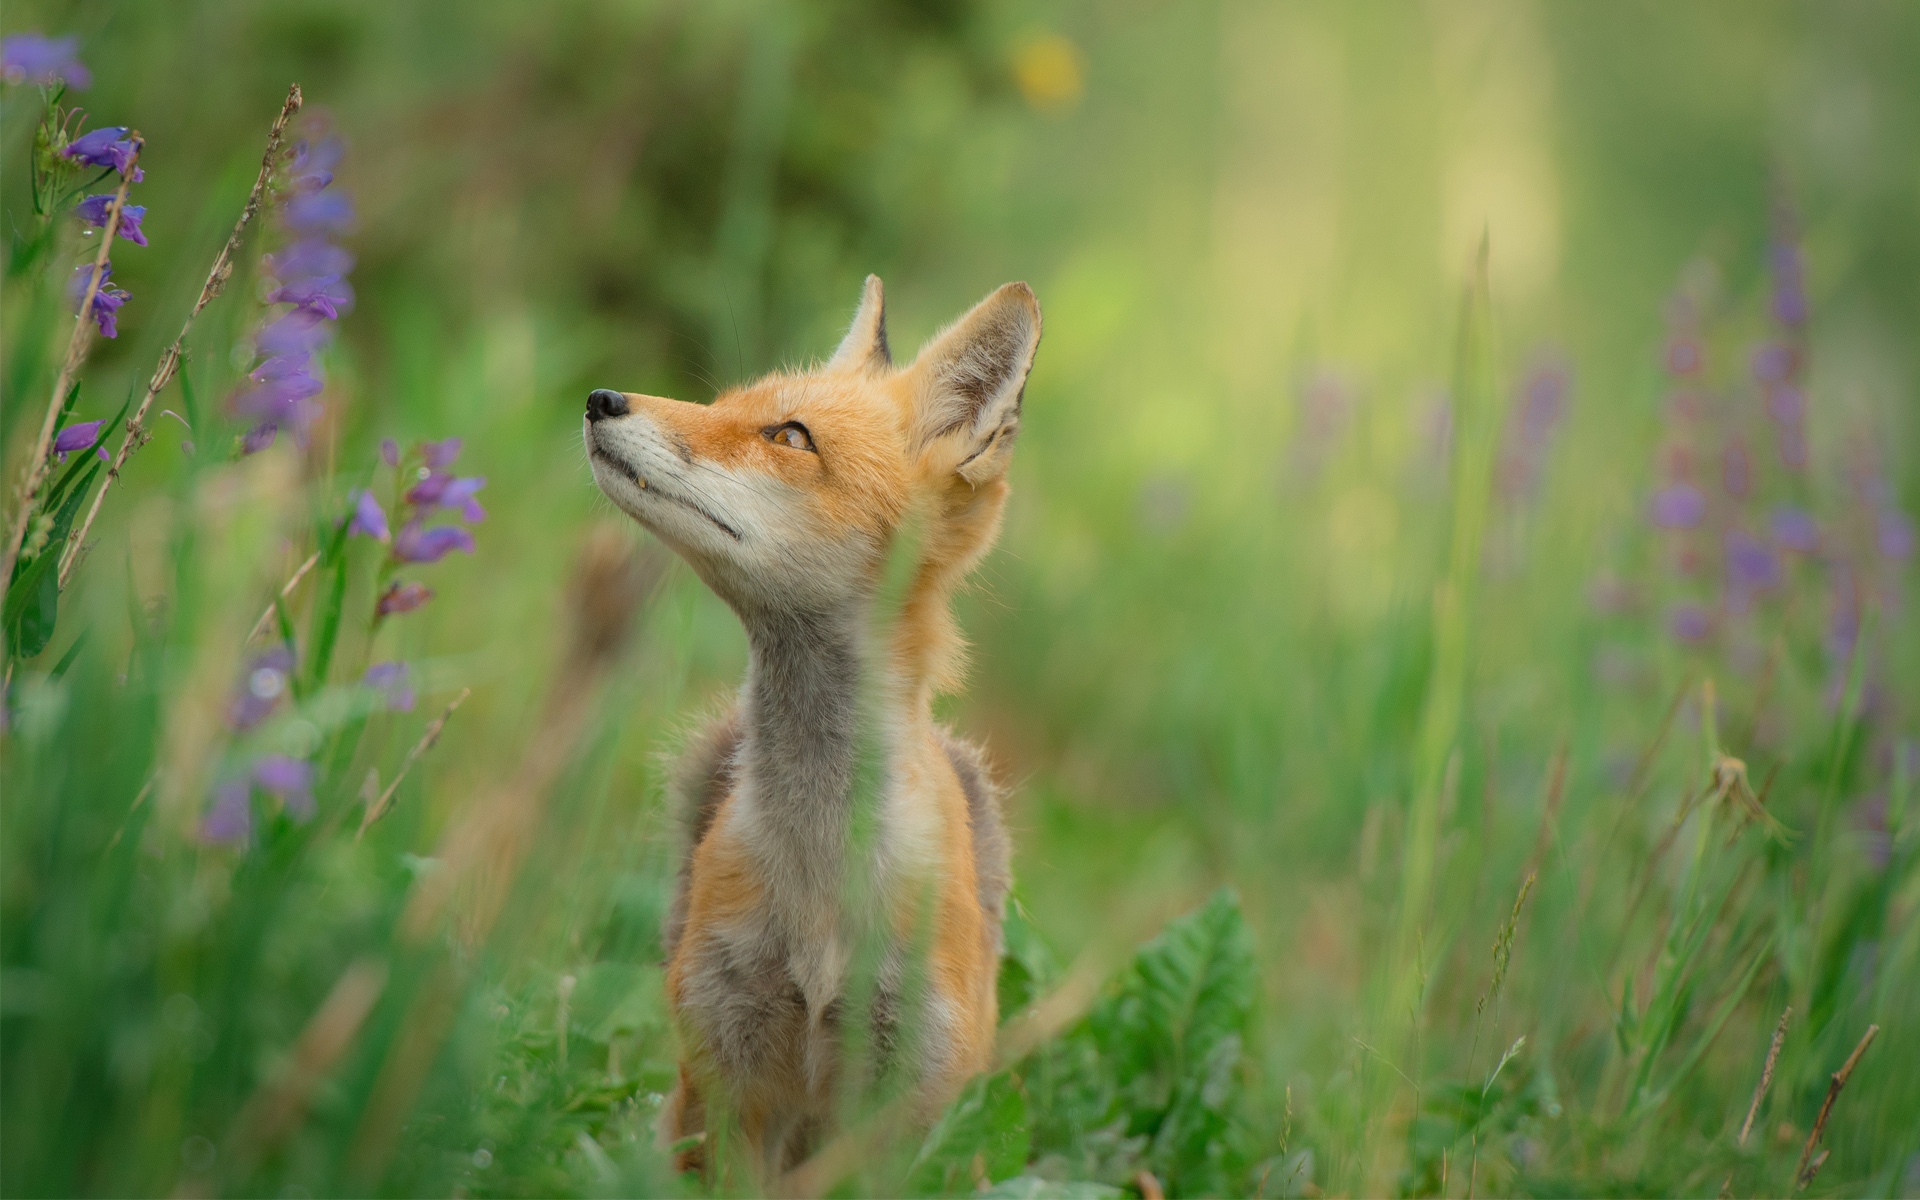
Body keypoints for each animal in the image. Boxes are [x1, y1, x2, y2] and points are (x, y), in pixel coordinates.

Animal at [579, 274, 1044, 1182]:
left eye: (789, 436)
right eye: (722, 403)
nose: (600, 398)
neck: (822, 881)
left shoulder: (904, 1106)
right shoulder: (728, 1079)